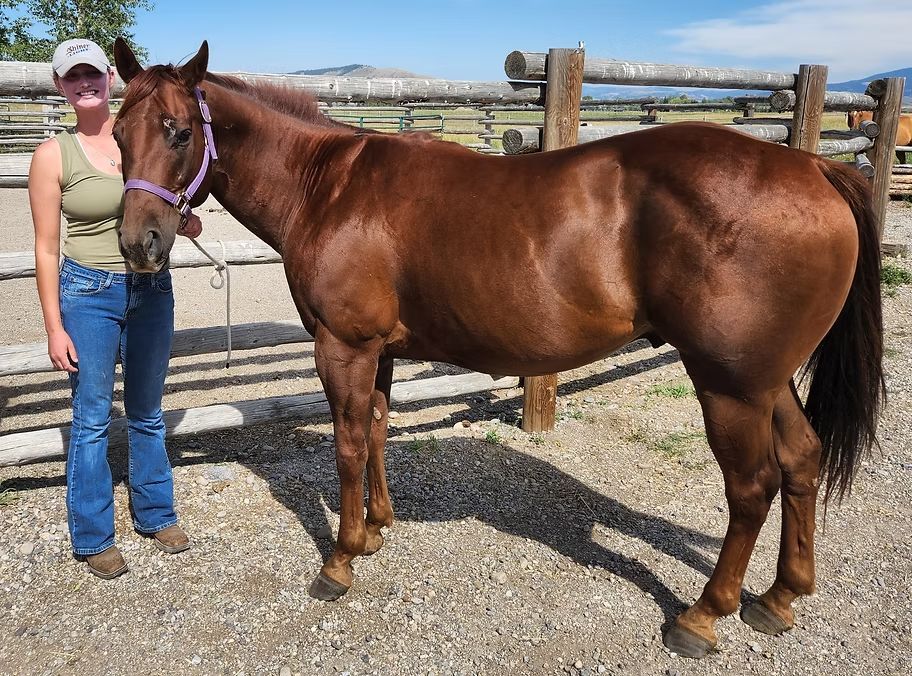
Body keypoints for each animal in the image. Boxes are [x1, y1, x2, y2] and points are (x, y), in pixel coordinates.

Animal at [111, 39, 884, 659]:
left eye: (179, 131)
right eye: (118, 132)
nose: (138, 243)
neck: (327, 186)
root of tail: (815, 171)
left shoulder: (343, 346)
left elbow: (348, 444)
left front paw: (340, 560)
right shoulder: (380, 349)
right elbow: (379, 429)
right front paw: (376, 528)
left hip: (729, 385)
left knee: (752, 486)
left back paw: (702, 616)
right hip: (766, 380)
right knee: (802, 459)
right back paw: (779, 598)